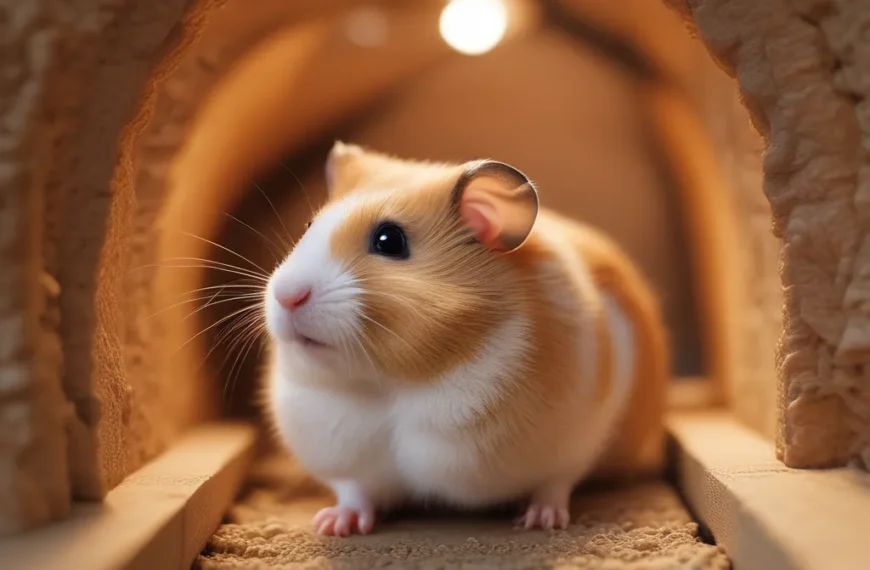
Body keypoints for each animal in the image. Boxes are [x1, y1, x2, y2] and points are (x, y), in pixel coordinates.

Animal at [262, 141, 672, 532]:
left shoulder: (574, 441)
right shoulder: (347, 461)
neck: (393, 385)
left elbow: (555, 483)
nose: (287, 295)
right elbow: (354, 493)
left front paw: (541, 522)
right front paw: (331, 525)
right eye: (308, 226)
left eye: (389, 241)